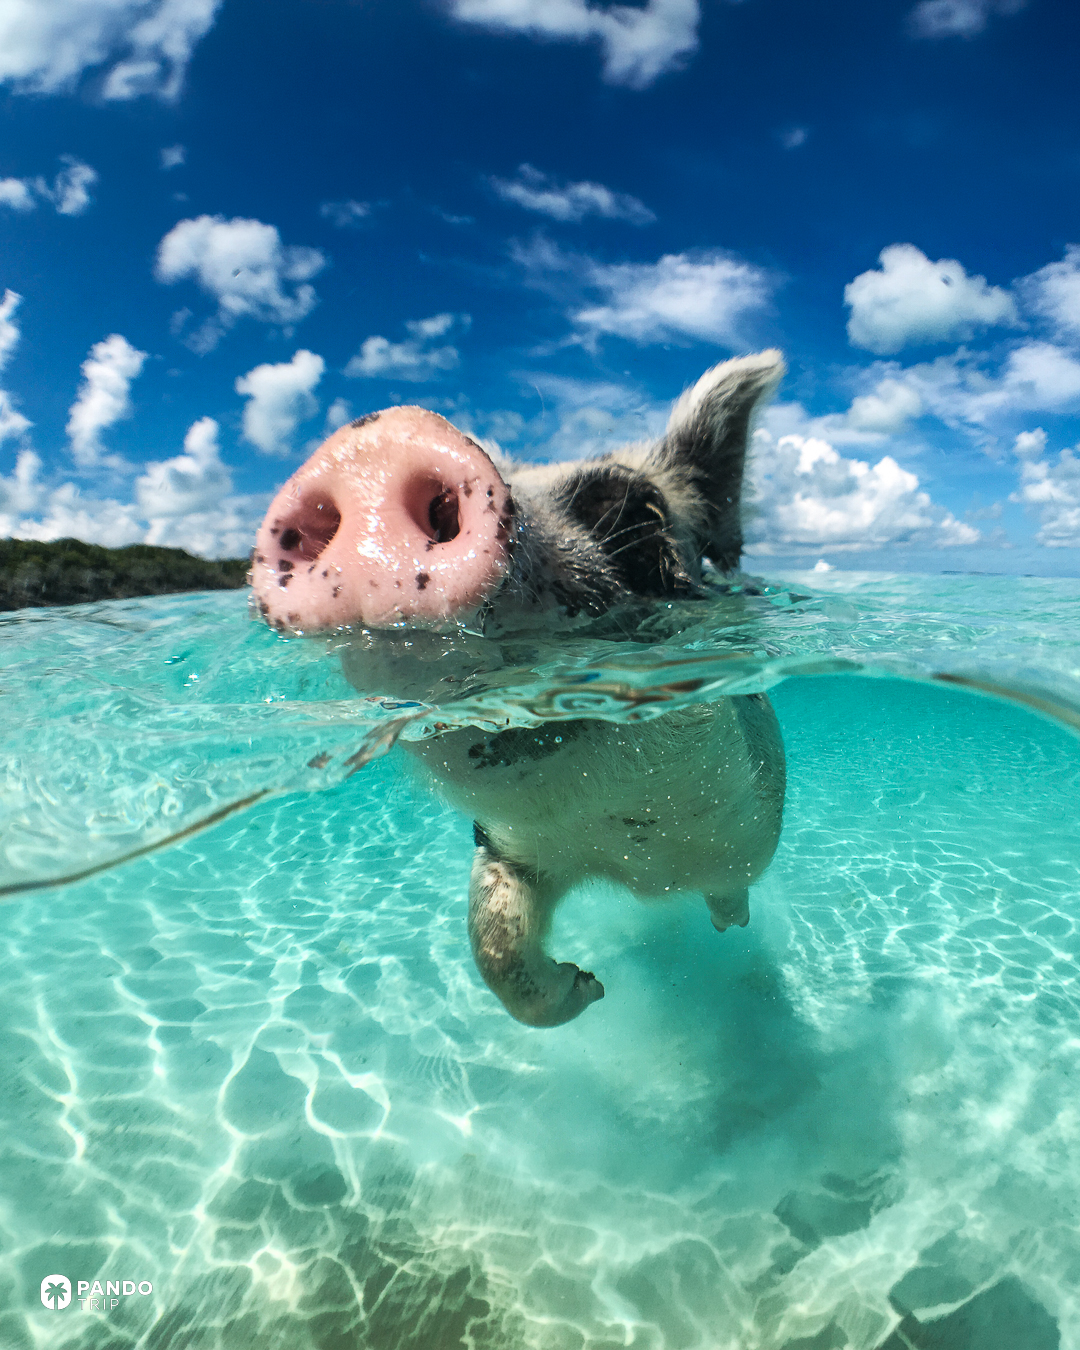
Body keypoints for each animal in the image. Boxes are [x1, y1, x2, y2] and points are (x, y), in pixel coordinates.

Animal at [250, 350, 787, 1027]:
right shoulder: (507, 848)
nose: (375, 442)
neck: (633, 858)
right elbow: (494, 944)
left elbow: (731, 885)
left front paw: (621, 972)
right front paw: (590, 986)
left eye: (639, 514)